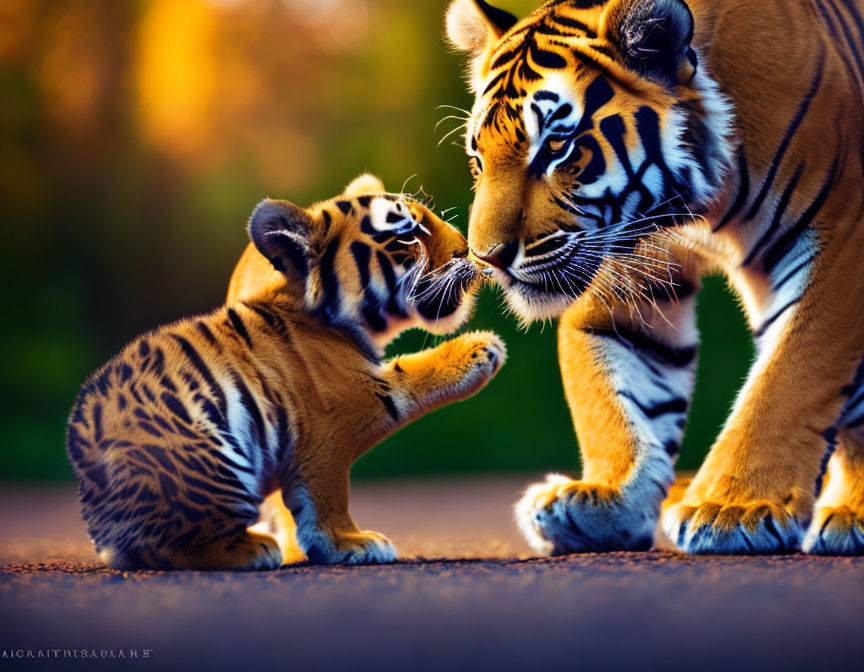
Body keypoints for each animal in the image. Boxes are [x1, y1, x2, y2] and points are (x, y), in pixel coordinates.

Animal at [446, 0, 864, 552]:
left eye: (556, 147)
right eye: (478, 158)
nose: (486, 257)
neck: (702, 209)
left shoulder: (838, 238)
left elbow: (788, 378)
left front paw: (733, 509)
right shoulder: (627, 264)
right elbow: (613, 387)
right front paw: (606, 498)